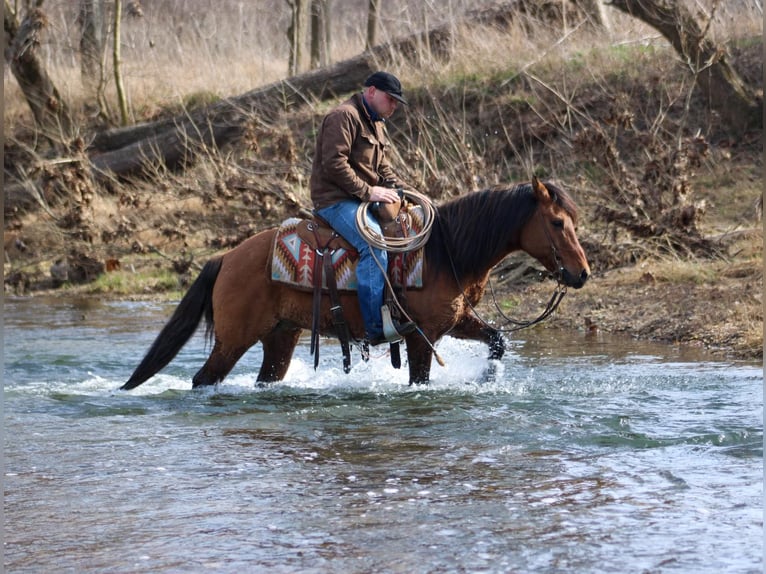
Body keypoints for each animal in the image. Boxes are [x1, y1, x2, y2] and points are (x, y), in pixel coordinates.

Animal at [120, 179, 592, 392]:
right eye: (556, 222)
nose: (582, 273)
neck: (446, 254)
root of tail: (226, 258)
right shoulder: (421, 337)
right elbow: (420, 382)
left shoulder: (455, 322)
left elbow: (497, 341)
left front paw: (487, 378)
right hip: (234, 338)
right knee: (204, 379)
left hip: (280, 338)